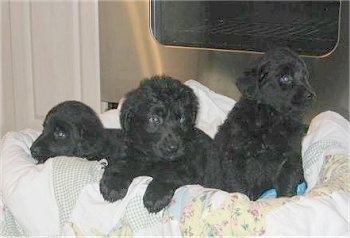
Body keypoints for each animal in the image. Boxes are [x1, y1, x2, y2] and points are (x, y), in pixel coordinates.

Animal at [215, 47, 316, 200]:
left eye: (305, 77)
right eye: (285, 78)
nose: (311, 95)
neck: (272, 119)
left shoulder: (290, 158)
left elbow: (287, 184)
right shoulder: (236, 156)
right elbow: (239, 186)